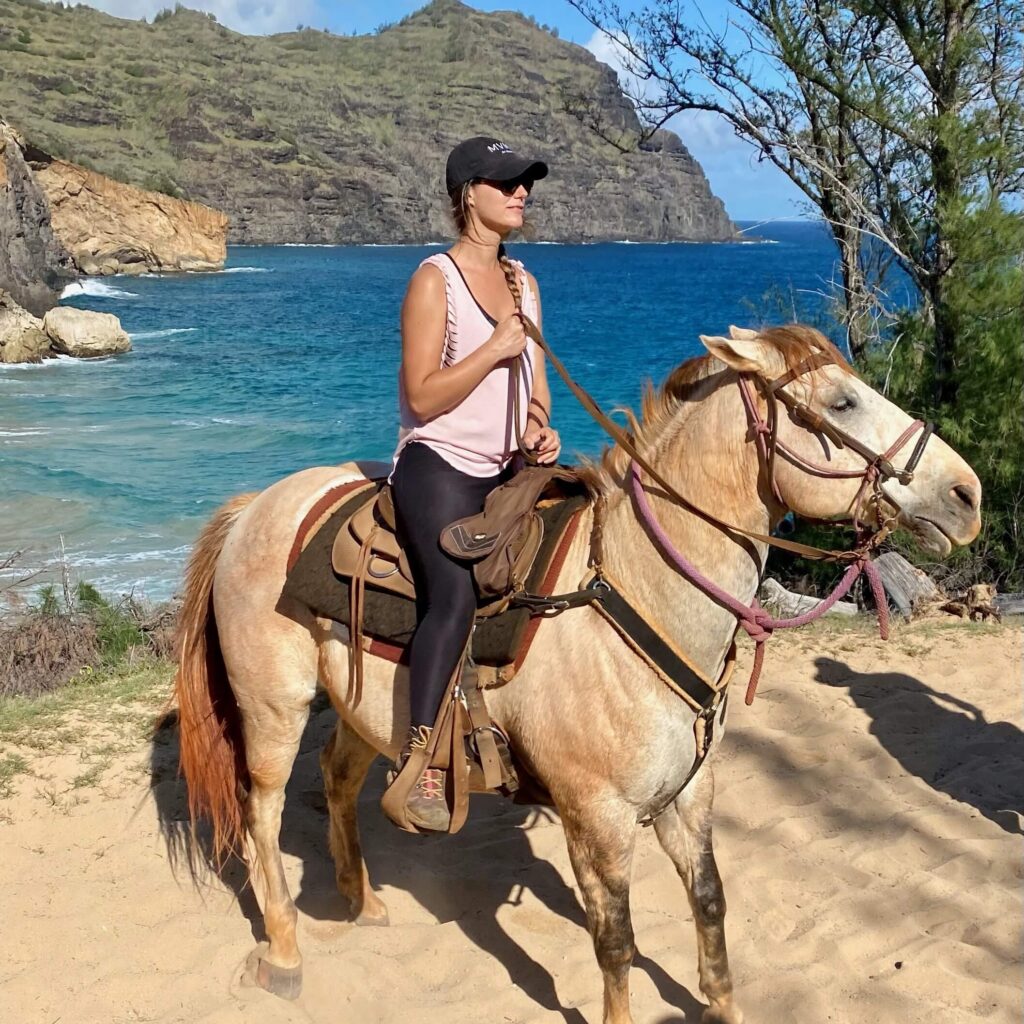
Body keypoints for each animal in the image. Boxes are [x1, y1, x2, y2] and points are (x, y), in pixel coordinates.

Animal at [172, 325, 978, 1024]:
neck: (633, 593)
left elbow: (710, 904)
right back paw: (284, 953)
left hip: (363, 708)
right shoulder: (598, 818)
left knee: (337, 782)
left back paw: (362, 901)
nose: (967, 496)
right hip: (272, 708)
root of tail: (257, 506)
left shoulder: (688, 796)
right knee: (263, 812)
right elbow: (615, 943)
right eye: (842, 403)